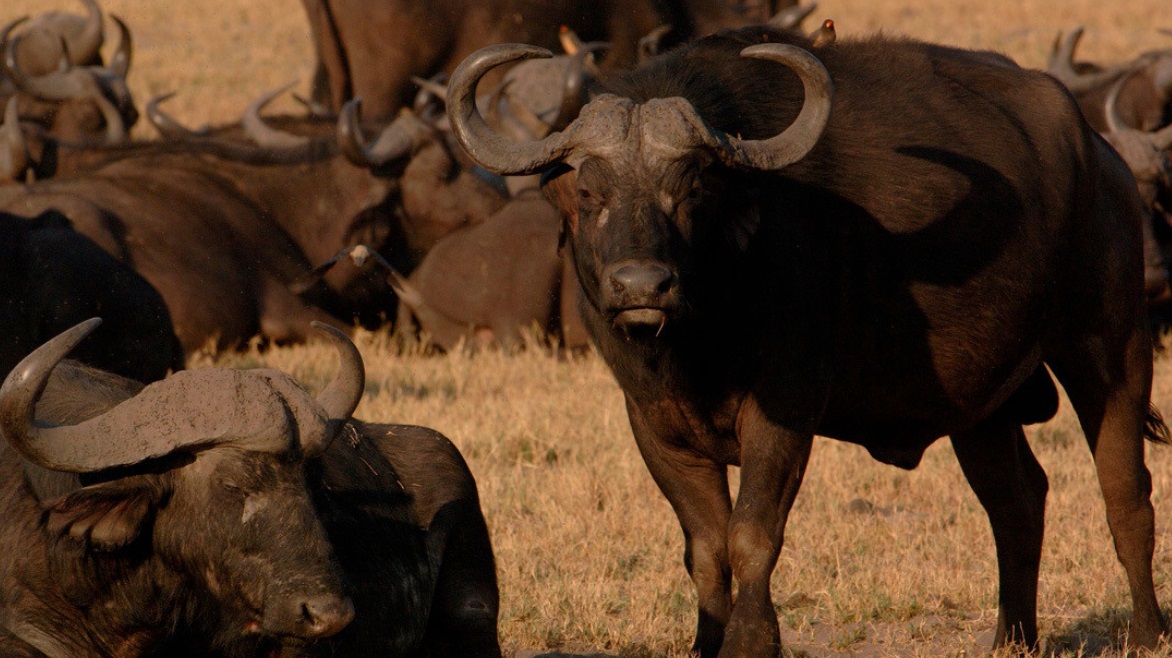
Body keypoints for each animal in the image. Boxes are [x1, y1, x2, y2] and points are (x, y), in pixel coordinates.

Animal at [447, 24, 1172, 652]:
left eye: (689, 191)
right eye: (590, 193)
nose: (642, 285)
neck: (702, 336)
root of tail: (1100, 158)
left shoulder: (784, 411)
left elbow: (750, 535)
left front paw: (751, 643)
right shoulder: (654, 427)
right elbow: (704, 548)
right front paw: (707, 641)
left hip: (1110, 345)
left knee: (1125, 492)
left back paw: (1144, 632)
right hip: (984, 405)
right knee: (1017, 500)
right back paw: (1011, 639)